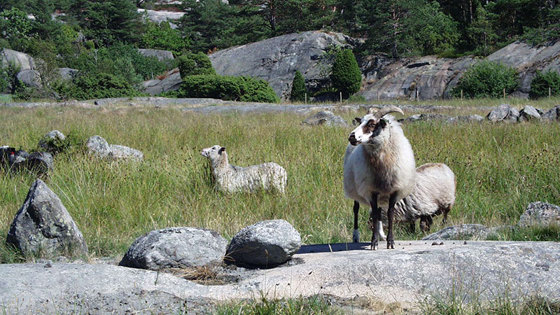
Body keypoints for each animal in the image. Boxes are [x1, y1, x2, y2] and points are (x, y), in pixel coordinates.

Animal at [342, 107, 416, 251]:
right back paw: (356, 235)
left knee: (380, 210)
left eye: (372, 124)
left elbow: (389, 214)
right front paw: (373, 242)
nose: (351, 137)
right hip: (356, 188)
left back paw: (381, 234)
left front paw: (390, 242)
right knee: (356, 209)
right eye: (361, 121)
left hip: (382, 192)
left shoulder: (394, 190)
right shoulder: (371, 190)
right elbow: (375, 215)